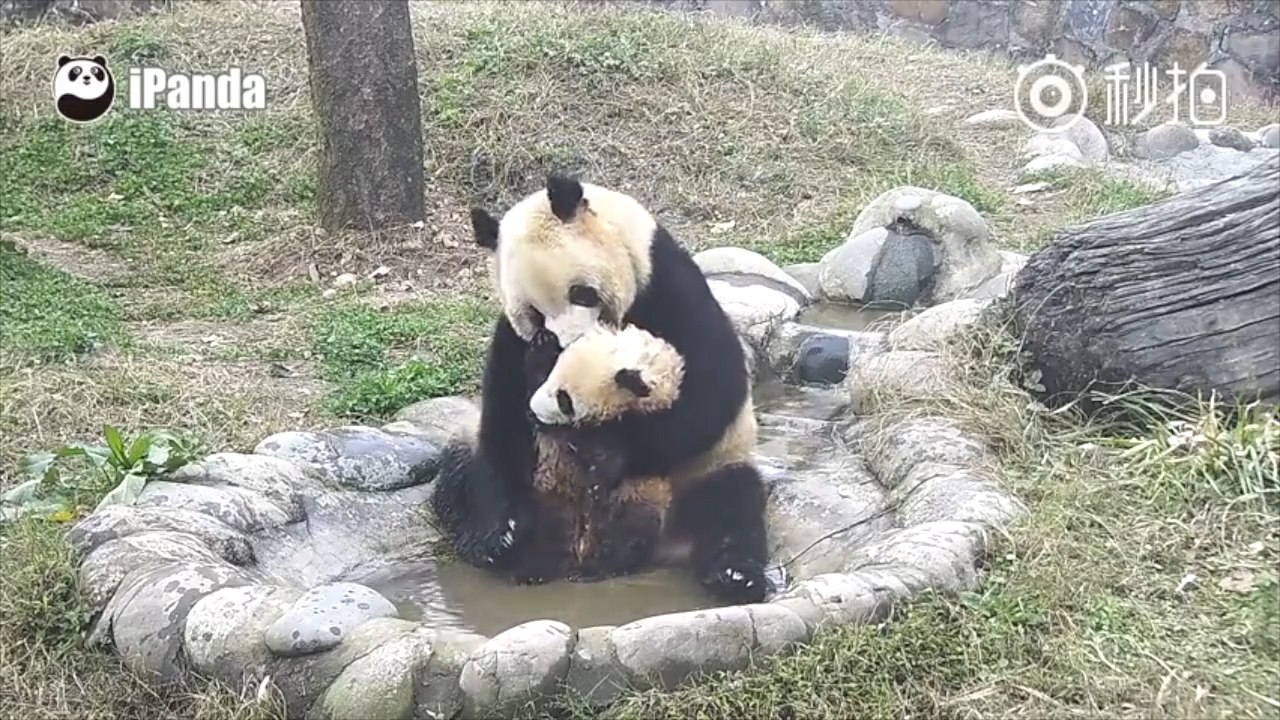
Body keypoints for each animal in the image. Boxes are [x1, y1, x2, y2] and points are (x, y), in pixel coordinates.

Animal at [526, 324, 770, 599]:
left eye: (564, 399)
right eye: (552, 378)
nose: (533, 409)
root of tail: (670, 547)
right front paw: (541, 348)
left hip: (709, 471)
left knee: (730, 511)